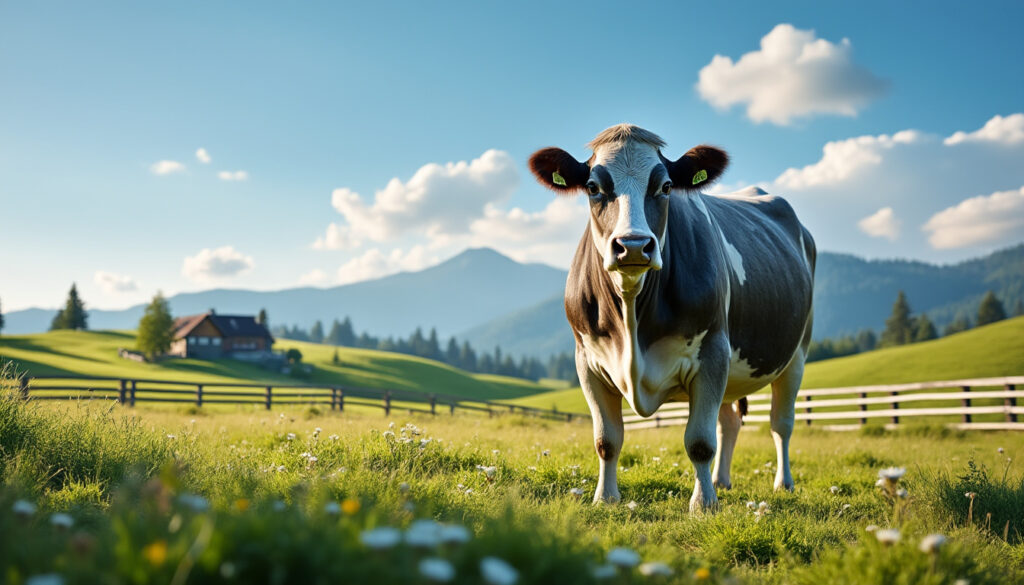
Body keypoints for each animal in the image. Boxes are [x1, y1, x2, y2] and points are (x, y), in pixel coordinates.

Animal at [528, 124, 815, 512]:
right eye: (592, 187)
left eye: (665, 186)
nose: (633, 246)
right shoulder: (586, 360)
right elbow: (606, 439)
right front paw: (606, 498)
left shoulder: (712, 352)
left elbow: (700, 441)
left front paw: (703, 504)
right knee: (729, 421)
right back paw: (721, 481)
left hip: (796, 354)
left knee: (780, 423)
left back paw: (782, 484)